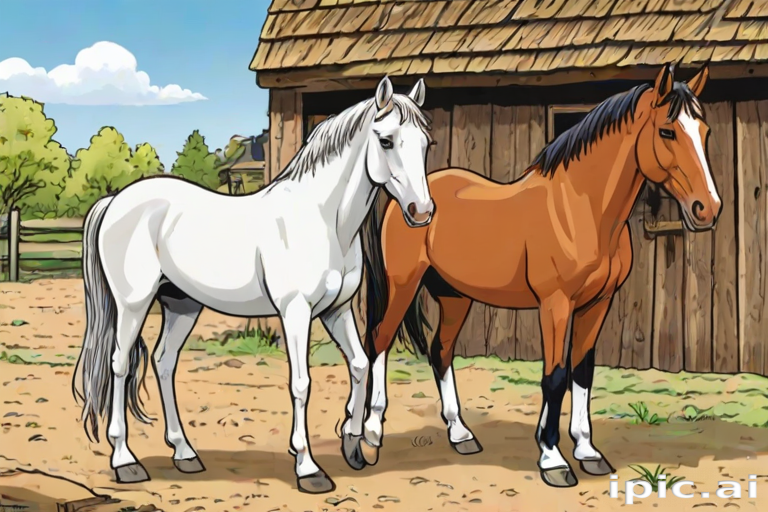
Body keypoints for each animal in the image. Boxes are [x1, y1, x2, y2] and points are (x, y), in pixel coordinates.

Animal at [71, 76, 435, 494]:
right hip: (132, 303)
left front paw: (354, 444)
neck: (324, 220)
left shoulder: (336, 310)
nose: (422, 212)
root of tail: (115, 200)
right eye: (386, 140)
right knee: (119, 364)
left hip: (182, 304)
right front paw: (308, 468)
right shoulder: (296, 312)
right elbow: (301, 383)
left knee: (164, 362)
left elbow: (359, 364)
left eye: (426, 143)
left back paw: (185, 454)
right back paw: (125, 461)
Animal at [360, 64, 721, 487]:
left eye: (704, 132)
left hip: (455, 295)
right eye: (667, 131)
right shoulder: (556, 304)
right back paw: (369, 436)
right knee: (379, 341)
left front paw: (587, 451)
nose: (707, 209)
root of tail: (412, 199)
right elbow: (555, 376)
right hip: (403, 285)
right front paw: (553, 459)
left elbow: (582, 371)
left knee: (440, 352)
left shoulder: (598, 304)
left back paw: (461, 435)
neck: (581, 208)